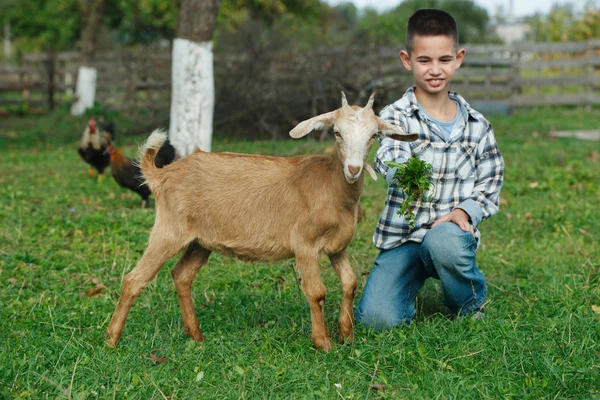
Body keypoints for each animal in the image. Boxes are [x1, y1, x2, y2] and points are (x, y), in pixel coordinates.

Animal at [104, 93, 418, 350]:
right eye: (337, 133)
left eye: (374, 136)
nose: (353, 169)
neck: (332, 187)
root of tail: (161, 175)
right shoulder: (305, 245)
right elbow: (317, 292)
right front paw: (323, 343)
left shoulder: (337, 248)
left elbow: (350, 284)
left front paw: (347, 336)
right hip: (168, 230)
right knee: (134, 280)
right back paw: (111, 340)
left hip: (200, 241)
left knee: (182, 275)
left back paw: (196, 335)